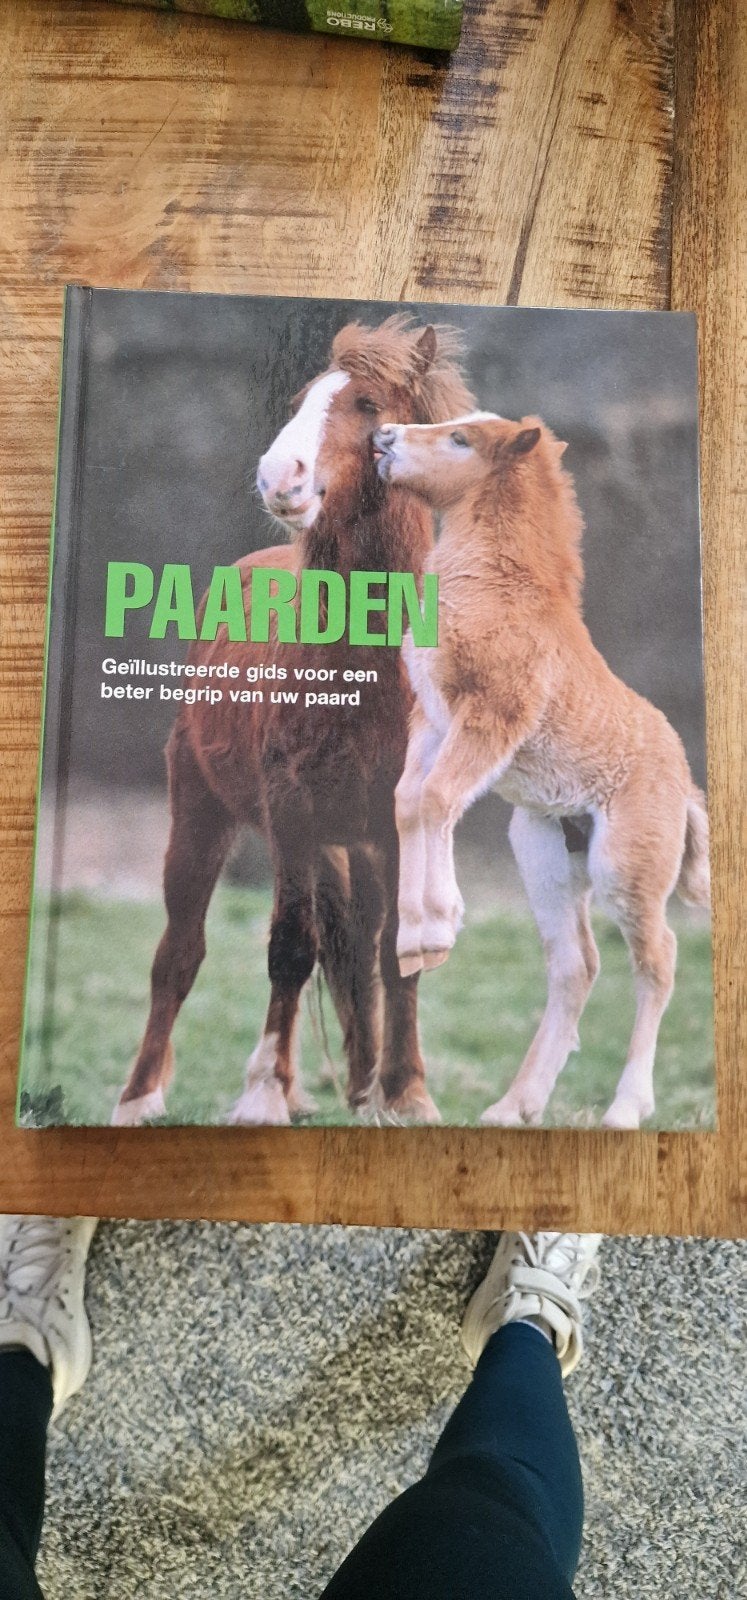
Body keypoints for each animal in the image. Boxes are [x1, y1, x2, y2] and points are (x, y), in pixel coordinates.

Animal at [112, 316, 475, 1127]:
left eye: (369, 404)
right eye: (302, 402)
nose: (281, 476)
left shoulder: (394, 826)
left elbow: (393, 956)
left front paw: (406, 1094)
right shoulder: (292, 815)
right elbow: (289, 947)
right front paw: (262, 1095)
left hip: (359, 845)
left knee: (360, 950)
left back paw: (361, 1083)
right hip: (201, 813)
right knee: (178, 954)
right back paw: (140, 1096)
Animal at [373, 412, 710, 1130]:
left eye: (460, 441)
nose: (383, 436)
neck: (497, 587)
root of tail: (683, 781)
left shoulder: (492, 716)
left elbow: (438, 798)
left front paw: (439, 923)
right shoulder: (431, 722)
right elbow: (409, 802)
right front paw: (416, 942)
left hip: (624, 866)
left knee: (659, 958)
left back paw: (625, 1107)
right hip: (543, 856)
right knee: (575, 964)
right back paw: (513, 1106)